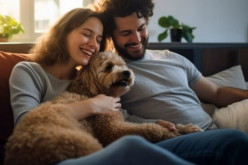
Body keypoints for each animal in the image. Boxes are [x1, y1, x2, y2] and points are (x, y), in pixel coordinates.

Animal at [3, 51, 202, 165]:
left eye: (122, 65)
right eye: (108, 67)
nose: (127, 73)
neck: (89, 91)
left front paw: (186, 128)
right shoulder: (113, 128)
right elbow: (148, 128)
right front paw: (169, 133)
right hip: (86, 145)